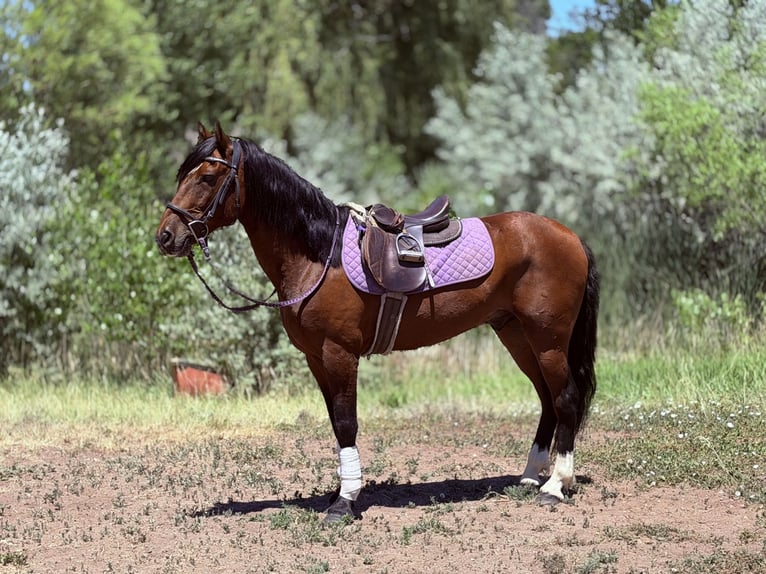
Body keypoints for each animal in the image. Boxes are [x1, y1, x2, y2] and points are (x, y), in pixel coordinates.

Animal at [156, 122, 599, 522]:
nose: (165, 236)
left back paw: (555, 486)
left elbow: (347, 422)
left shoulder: (339, 353)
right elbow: (336, 423)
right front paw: (340, 491)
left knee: (565, 398)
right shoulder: (316, 358)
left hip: (547, 339)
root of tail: (570, 236)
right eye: (182, 175)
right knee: (546, 399)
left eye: (208, 177)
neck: (320, 253)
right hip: (516, 334)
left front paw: (345, 502)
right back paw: (529, 478)